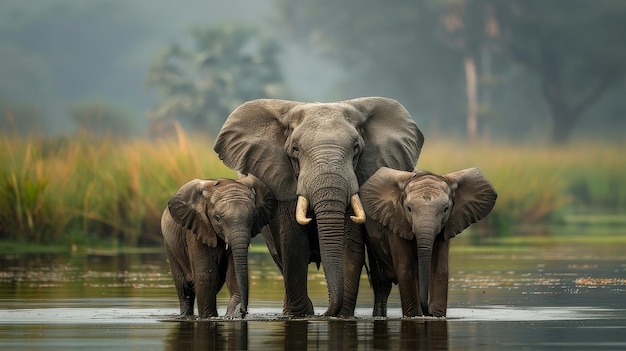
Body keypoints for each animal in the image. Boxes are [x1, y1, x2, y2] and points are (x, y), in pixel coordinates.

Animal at [160, 175, 272, 320]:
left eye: (254, 217)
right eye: (218, 218)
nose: (244, 311)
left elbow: (233, 275)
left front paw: (231, 316)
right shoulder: (197, 228)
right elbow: (206, 276)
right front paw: (209, 318)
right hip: (171, 247)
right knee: (184, 287)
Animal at [212, 97, 422, 318]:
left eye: (356, 147)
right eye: (295, 149)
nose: (324, 313)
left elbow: (348, 245)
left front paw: (340, 315)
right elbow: (293, 244)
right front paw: (302, 313)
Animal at [358, 166, 494, 318]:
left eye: (446, 209)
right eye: (409, 209)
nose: (427, 311)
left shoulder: (445, 227)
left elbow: (440, 269)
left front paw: (437, 315)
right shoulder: (397, 221)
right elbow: (406, 269)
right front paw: (415, 316)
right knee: (382, 284)